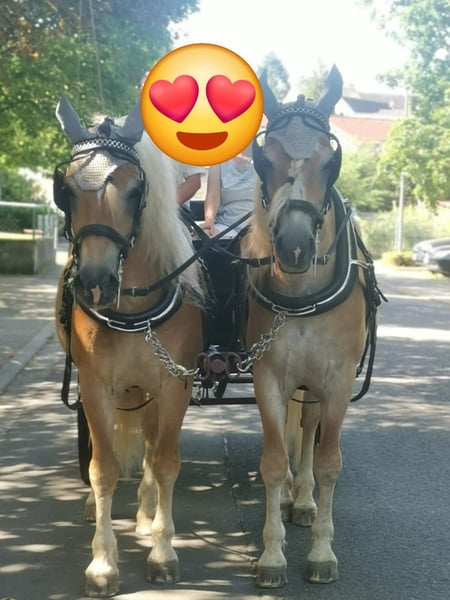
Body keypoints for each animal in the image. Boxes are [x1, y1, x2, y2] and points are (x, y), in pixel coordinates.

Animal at [53, 98, 205, 597]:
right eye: (64, 190)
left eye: (136, 190)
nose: (96, 282)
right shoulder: (96, 386)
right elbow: (102, 468)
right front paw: (102, 564)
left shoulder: (174, 385)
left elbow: (165, 461)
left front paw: (162, 550)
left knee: (151, 449)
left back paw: (145, 513)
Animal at [243, 65, 383, 587]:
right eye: (264, 160)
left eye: (330, 162)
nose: (296, 246)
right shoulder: (267, 376)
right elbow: (272, 459)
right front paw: (271, 555)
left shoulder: (337, 380)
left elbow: (326, 463)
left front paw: (322, 550)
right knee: (292, 429)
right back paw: (289, 495)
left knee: (307, 428)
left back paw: (301, 500)